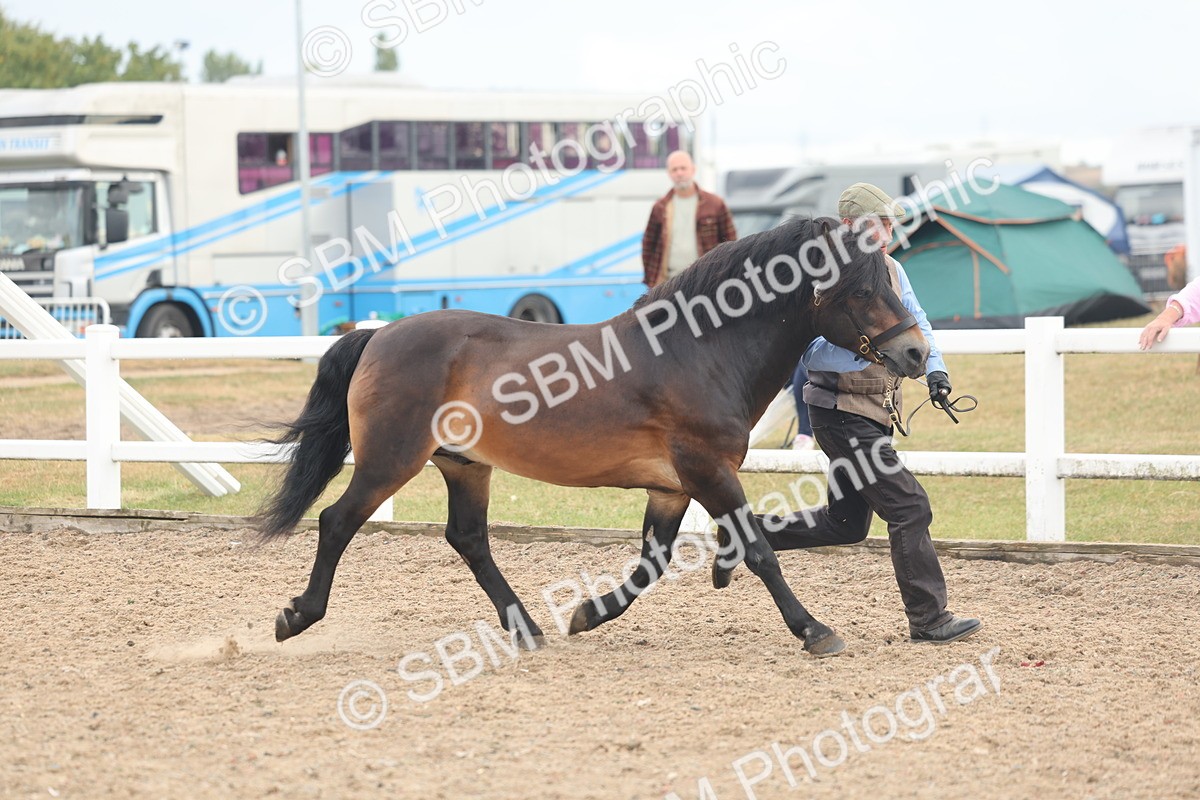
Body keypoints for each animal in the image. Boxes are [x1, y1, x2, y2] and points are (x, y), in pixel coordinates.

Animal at [257, 217, 929, 658]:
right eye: (862, 288)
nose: (916, 353)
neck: (699, 350)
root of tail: (379, 333)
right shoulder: (708, 470)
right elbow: (760, 550)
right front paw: (814, 631)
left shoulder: (671, 487)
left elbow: (652, 562)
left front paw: (585, 614)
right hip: (389, 461)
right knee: (337, 522)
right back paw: (296, 617)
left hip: (465, 466)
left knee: (468, 539)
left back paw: (525, 627)